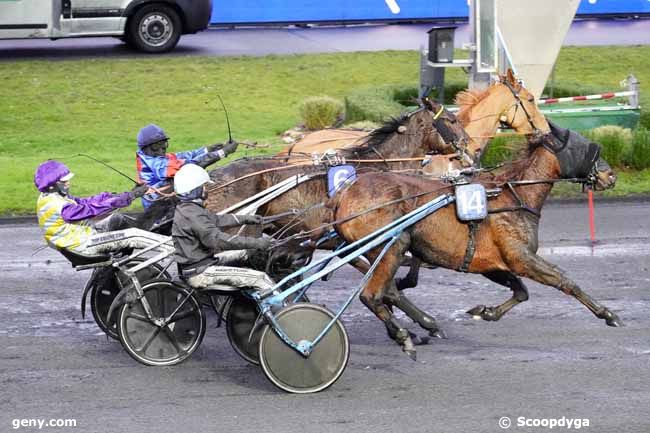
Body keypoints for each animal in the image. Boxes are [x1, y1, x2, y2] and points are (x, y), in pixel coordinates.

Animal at [324, 122, 616, 358]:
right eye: (587, 147)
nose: (610, 175)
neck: (511, 196)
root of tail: (344, 195)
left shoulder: (489, 263)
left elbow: (521, 291)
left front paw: (485, 311)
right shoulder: (520, 258)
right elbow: (563, 280)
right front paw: (607, 314)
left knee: (387, 291)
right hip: (392, 244)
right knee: (372, 295)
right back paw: (404, 336)